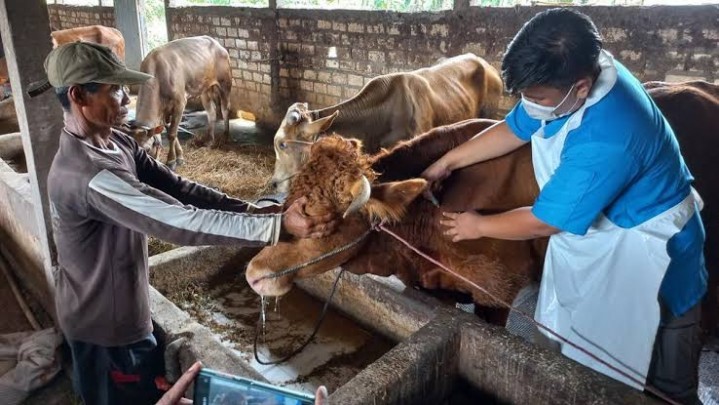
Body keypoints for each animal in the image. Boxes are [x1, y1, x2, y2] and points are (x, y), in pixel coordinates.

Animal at [126, 34, 232, 168]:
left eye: (148, 149)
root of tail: (216, 43)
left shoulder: (180, 103)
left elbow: (172, 133)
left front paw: (171, 160)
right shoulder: (163, 109)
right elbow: (171, 130)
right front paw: (179, 157)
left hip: (225, 83)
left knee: (225, 109)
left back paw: (225, 136)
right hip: (205, 89)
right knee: (211, 113)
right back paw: (209, 141)